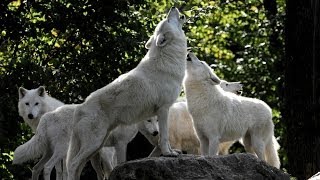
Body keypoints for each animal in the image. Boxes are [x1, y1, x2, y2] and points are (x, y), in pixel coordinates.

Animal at [13, 104, 159, 180]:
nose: (156, 132)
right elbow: (117, 166)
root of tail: (46, 116)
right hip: (61, 151)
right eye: (149, 120)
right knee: (48, 167)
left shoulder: (101, 151)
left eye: (157, 120)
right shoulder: (119, 145)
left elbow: (104, 173)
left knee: (36, 168)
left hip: (50, 152)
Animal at [67, 7, 188, 179]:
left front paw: (172, 151)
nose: (172, 7)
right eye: (168, 19)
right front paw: (168, 154)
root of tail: (79, 108)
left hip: (96, 147)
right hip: (94, 144)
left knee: (78, 166)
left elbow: (164, 137)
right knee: (72, 164)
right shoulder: (163, 109)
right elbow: (164, 137)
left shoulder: (163, 112)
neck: (167, 59)